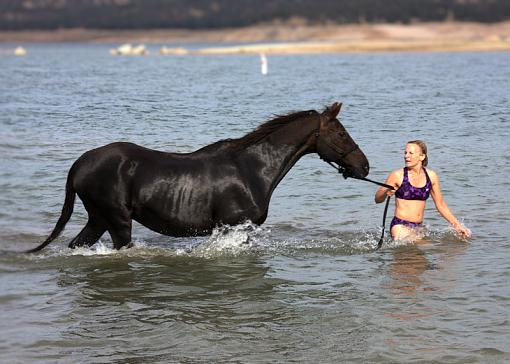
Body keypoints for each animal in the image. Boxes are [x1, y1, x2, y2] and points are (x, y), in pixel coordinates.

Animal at [26, 101, 366, 252]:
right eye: (340, 133)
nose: (364, 167)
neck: (252, 169)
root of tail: (80, 163)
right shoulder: (233, 226)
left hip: (98, 219)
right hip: (117, 222)